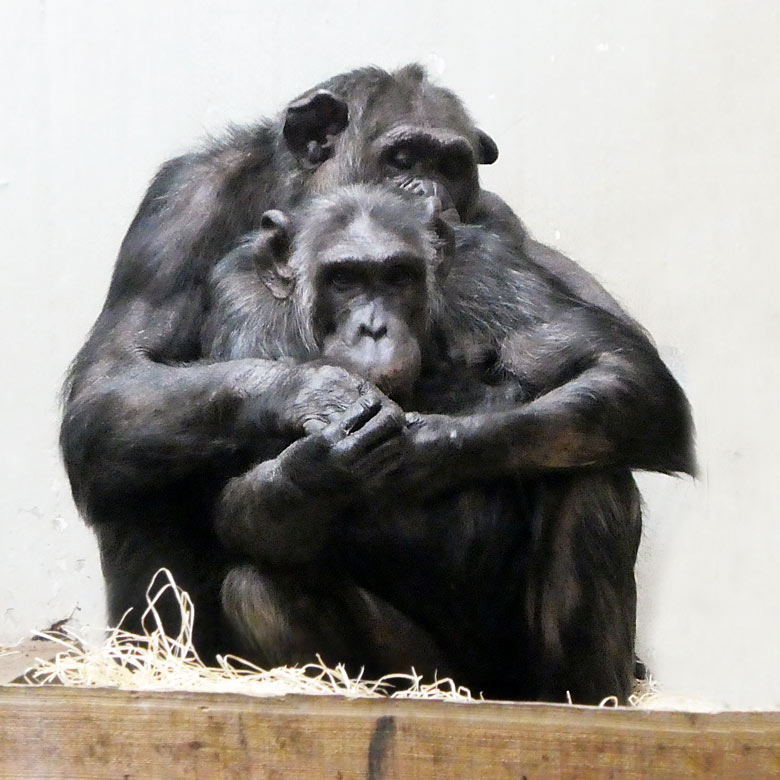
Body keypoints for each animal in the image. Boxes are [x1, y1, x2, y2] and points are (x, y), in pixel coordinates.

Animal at [197, 186, 688, 704]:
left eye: (397, 276)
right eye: (343, 280)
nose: (374, 328)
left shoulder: (493, 271)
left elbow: (622, 369)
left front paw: (425, 448)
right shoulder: (243, 304)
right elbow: (235, 501)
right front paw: (322, 469)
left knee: (591, 473)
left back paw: (587, 700)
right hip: (435, 674)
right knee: (257, 590)